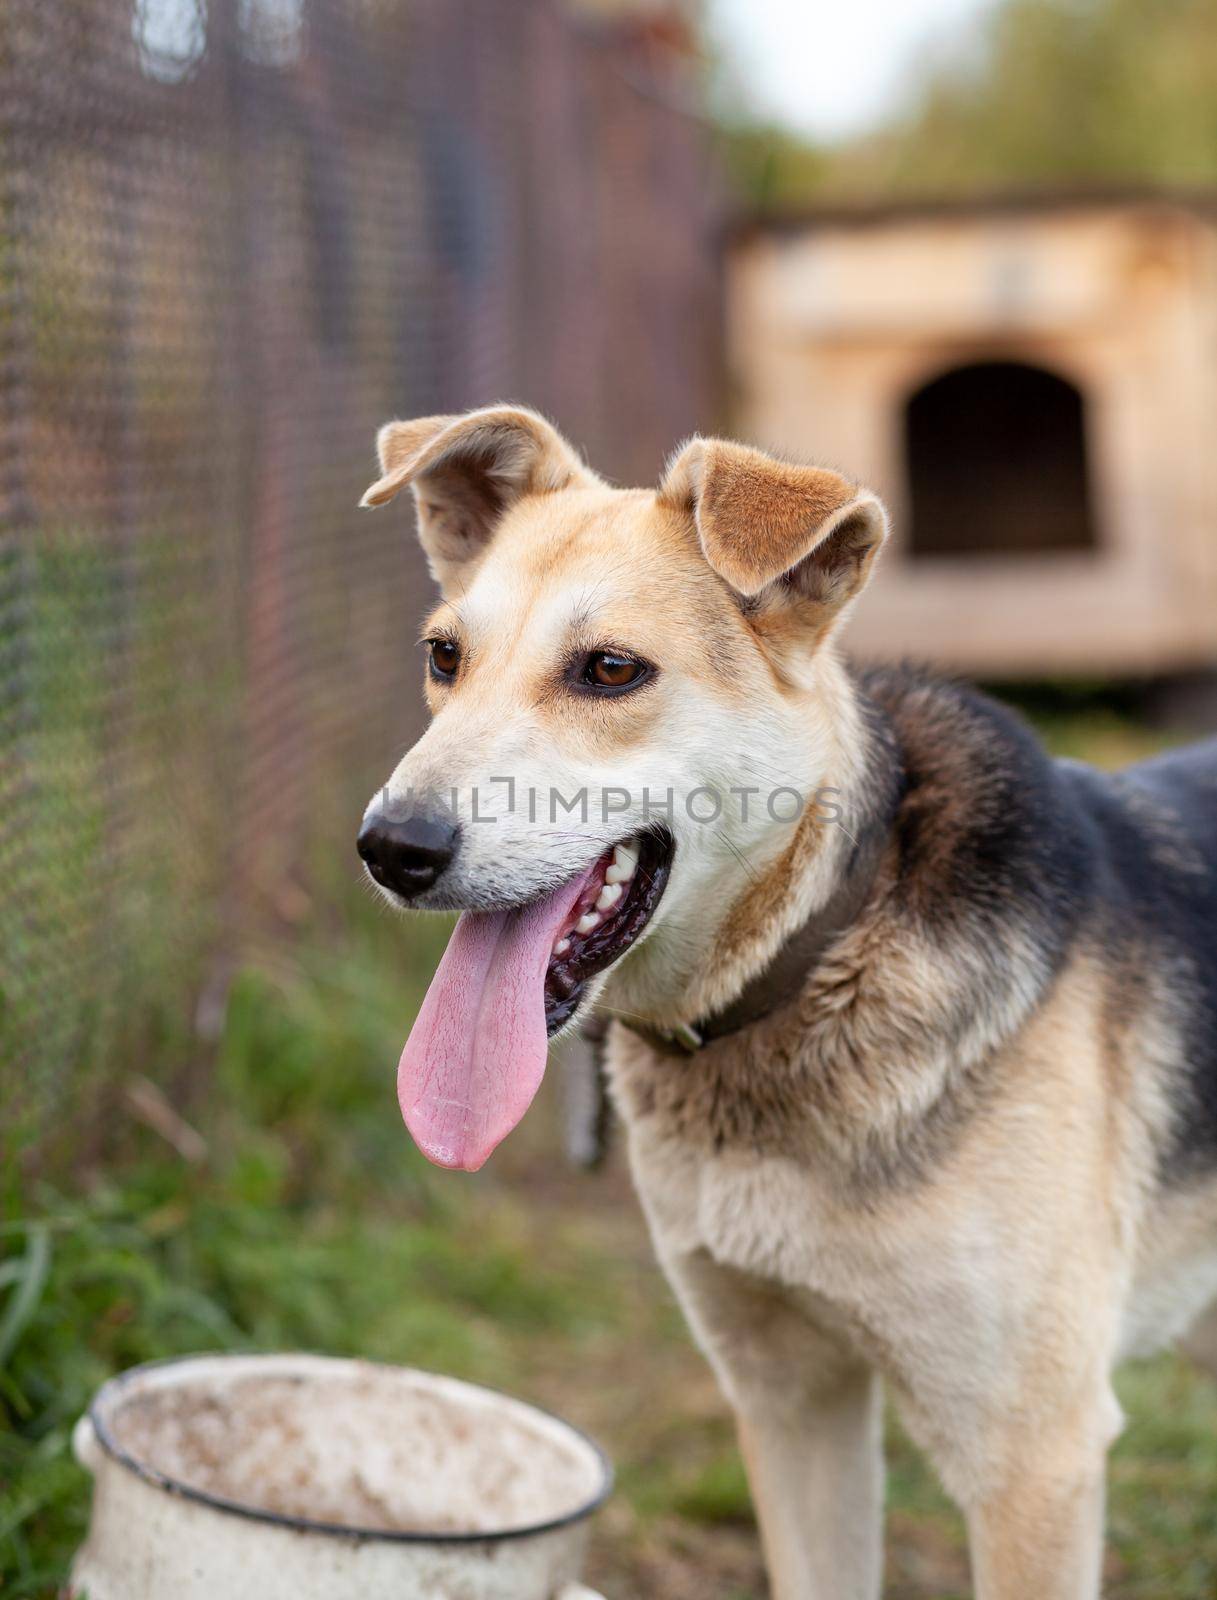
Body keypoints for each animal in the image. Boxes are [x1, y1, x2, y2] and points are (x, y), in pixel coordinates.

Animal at [356, 403, 1215, 1600]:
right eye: (445, 657)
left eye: (609, 669)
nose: (392, 847)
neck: (817, 954)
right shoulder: (790, 1398)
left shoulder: (1030, 1458)